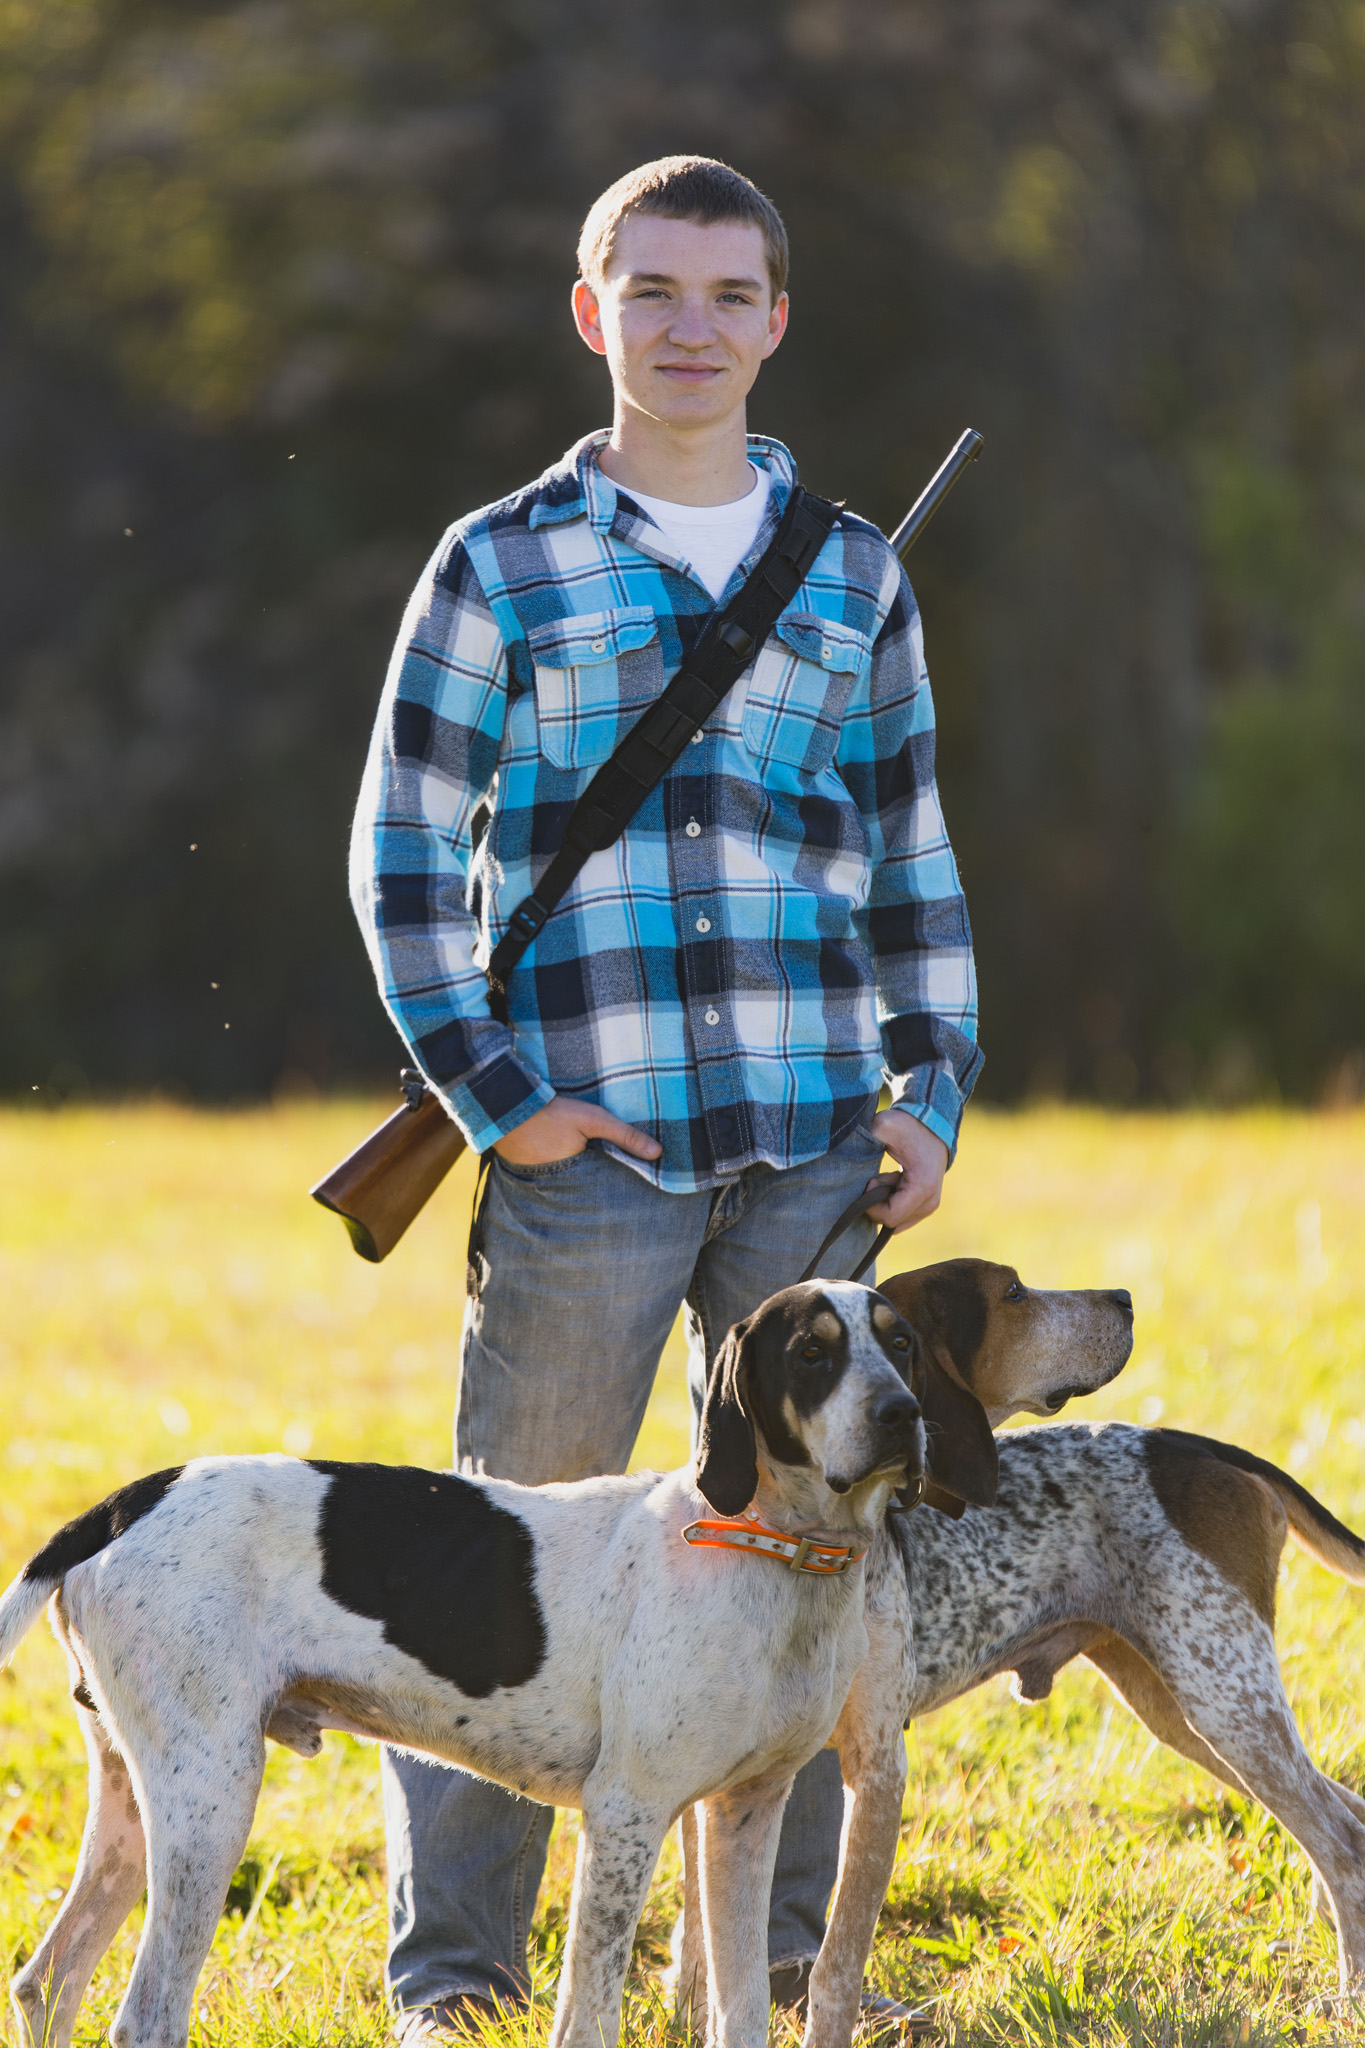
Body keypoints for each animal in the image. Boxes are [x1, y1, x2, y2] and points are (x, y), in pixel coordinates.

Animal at [0, 1277, 986, 2048]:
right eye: (812, 1354)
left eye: (899, 1343)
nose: (901, 1416)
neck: (774, 1552)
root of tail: (127, 1500)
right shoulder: (625, 1815)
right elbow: (589, 2011)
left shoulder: (743, 1815)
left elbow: (738, 2006)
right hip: (210, 1801)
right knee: (146, 2015)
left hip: (137, 1805)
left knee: (45, 1982)